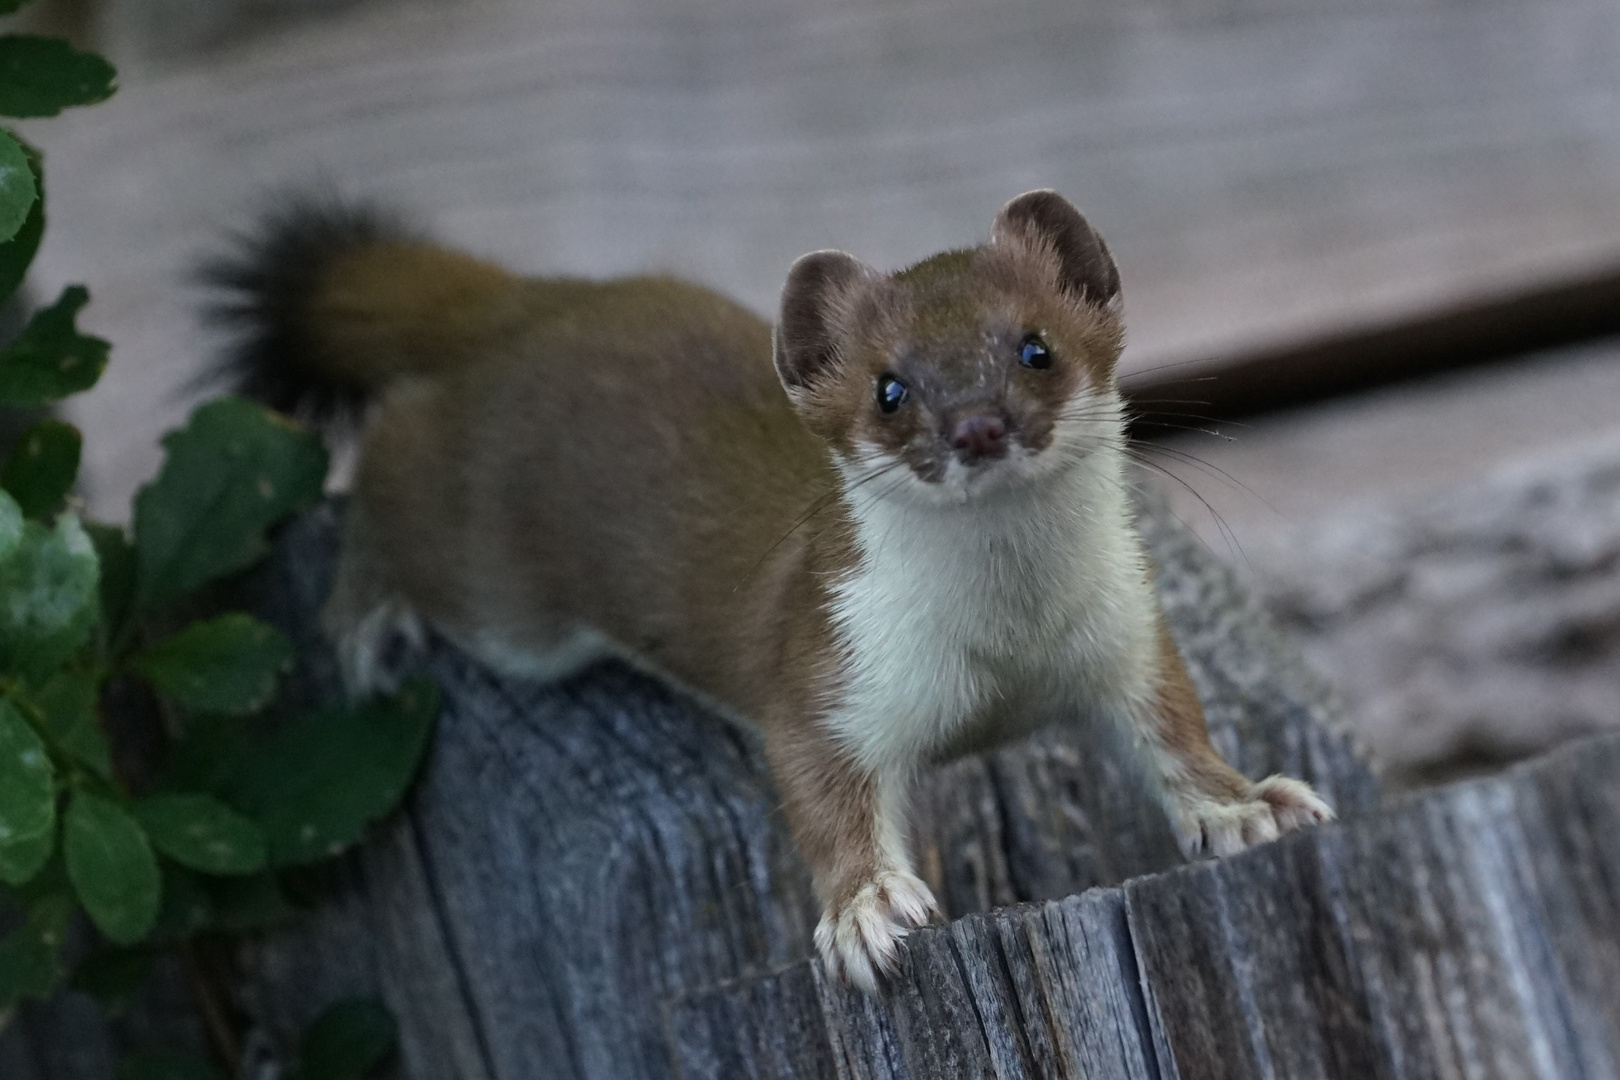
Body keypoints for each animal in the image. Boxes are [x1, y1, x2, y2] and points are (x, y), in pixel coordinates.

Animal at [202, 191, 1334, 997]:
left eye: (1035, 347)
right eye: (890, 388)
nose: (975, 427)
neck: (1004, 636)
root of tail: (536, 302)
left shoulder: (1125, 633)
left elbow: (1174, 732)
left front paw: (1251, 807)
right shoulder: (828, 664)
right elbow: (819, 785)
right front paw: (868, 913)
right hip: (502, 596)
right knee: (389, 455)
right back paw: (367, 625)